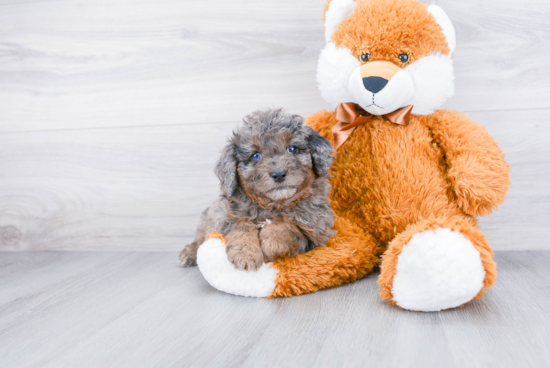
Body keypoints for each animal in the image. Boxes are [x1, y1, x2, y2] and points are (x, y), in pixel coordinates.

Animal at [180, 108, 336, 272]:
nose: (278, 174)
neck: (274, 205)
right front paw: (245, 255)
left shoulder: (318, 234)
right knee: (199, 239)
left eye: (292, 149)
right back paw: (189, 253)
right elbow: (241, 225)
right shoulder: (224, 215)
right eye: (255, 155)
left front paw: (269, 242)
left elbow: (289, 229)